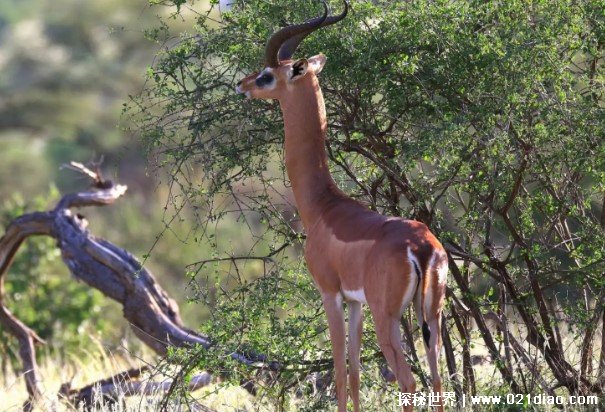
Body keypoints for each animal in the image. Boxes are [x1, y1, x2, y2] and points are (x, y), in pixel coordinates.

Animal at [236, 2, 448, 408]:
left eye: (268, 75)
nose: (242, 84)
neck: (323, 207)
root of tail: (423, 247)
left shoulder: (330, 294)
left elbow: (337, 372)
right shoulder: (355, 302)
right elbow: (355, 373)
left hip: (389, 318)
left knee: (409, 380)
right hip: (431, 316)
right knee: (439, 381)